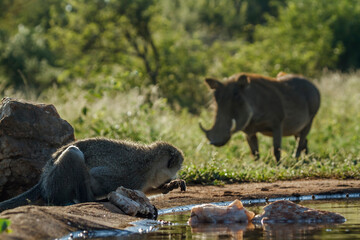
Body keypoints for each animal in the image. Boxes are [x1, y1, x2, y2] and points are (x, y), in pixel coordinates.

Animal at [0, 137, 186, 212]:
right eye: (175, 169)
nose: (172, 177)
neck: (150, 164)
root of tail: (43, 179)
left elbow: (147, 190)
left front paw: (170, 186)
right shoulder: (132, 176)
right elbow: (98, 176)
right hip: (55, 182)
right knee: (74, 153)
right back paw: (89, 200)